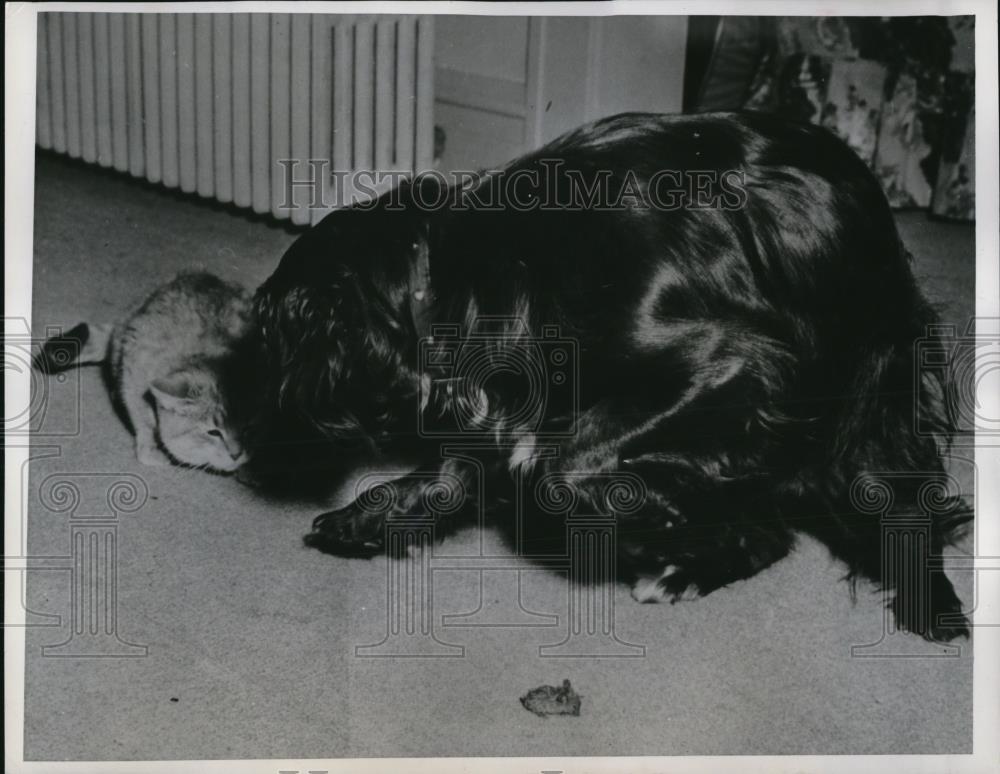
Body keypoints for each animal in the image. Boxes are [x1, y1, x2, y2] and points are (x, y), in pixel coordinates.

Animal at [36, 272, 258, 472]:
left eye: (248, 428)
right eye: (214, 432)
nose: (237, 454)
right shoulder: (133, 373)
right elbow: (144, 420)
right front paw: (150, 449)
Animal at [250, 110, 968, 644]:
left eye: (272, 337)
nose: (269, 408)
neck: (480, 261)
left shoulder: (727, 363)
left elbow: (556, 469)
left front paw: (659, 513)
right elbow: (448, 475)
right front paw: (362, 517)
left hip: (868, 390)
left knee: (894, 503)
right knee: (776, 528)